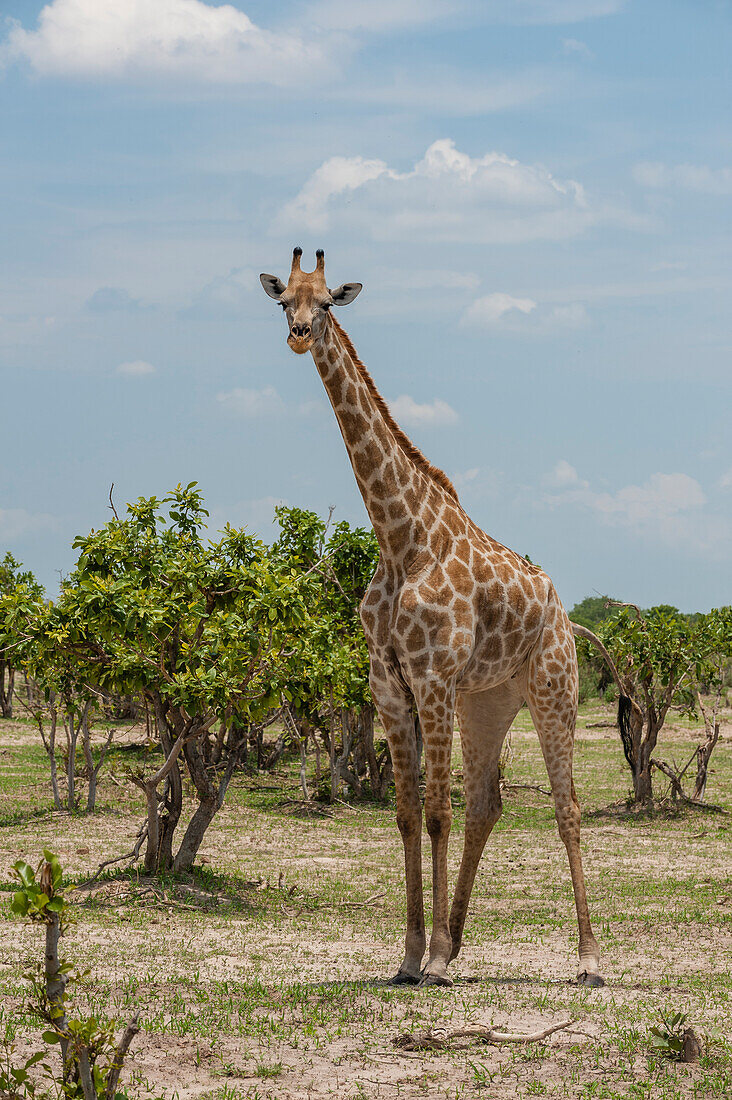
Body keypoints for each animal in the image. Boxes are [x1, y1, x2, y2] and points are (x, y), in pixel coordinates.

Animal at [259, 249, 603, 990]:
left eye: (326, 302)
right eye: (283, 301)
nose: (298, 335)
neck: (399, 538)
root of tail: (565, 616)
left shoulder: (433, 677)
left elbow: (438, 813)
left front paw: (436, 958)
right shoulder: (391, 685)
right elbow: (409, 814)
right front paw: (414, 953)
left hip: (553, 687)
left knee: (564, 808)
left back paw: (589, 958)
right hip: (488, 700)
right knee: (486, 805)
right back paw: (460, 940)